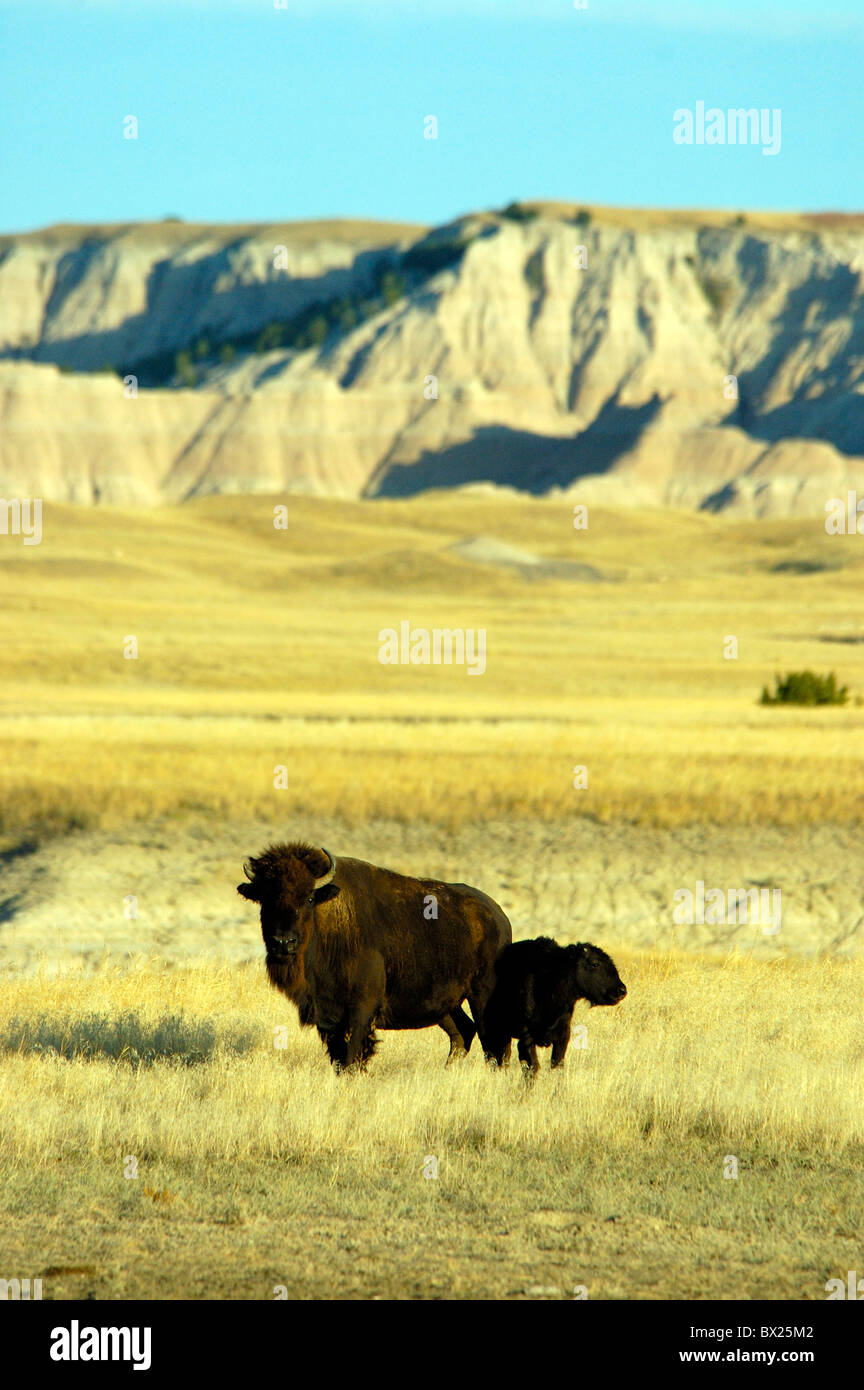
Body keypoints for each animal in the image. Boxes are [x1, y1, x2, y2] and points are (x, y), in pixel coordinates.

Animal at [237, 839, 513, 1067]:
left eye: (308, 898)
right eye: (265, 899)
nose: (283, 942)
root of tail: (498, 915)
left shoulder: (360, 1010)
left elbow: (351, 1057)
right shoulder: (327, 1017)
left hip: (482, 993)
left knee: (494, 1045)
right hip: (446, 1004)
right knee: (463, 1033)